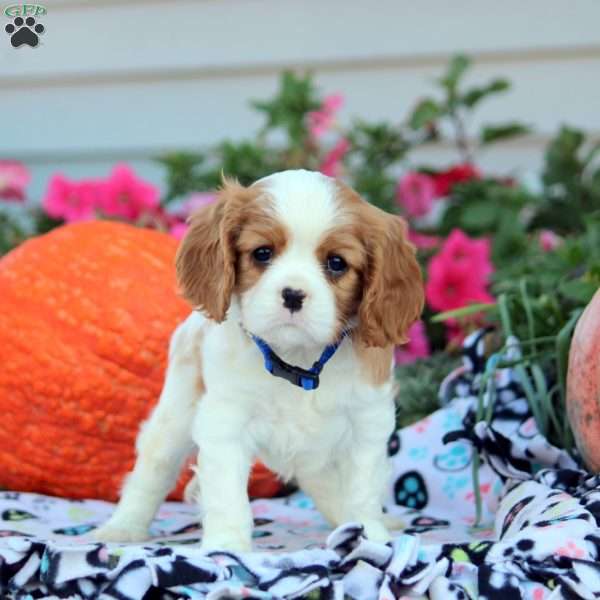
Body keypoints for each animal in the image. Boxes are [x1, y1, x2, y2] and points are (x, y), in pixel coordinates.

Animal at [94, 170, 424, 552]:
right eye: (262, 253)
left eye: (337, 263)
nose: (293, 294)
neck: (297, 361)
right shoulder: (225, 424)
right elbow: (227, 495)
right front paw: (226, 547)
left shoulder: (367, 424)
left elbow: (362, 490)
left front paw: (369, 536)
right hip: (177, 410)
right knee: (154, 467)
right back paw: (123, 527)